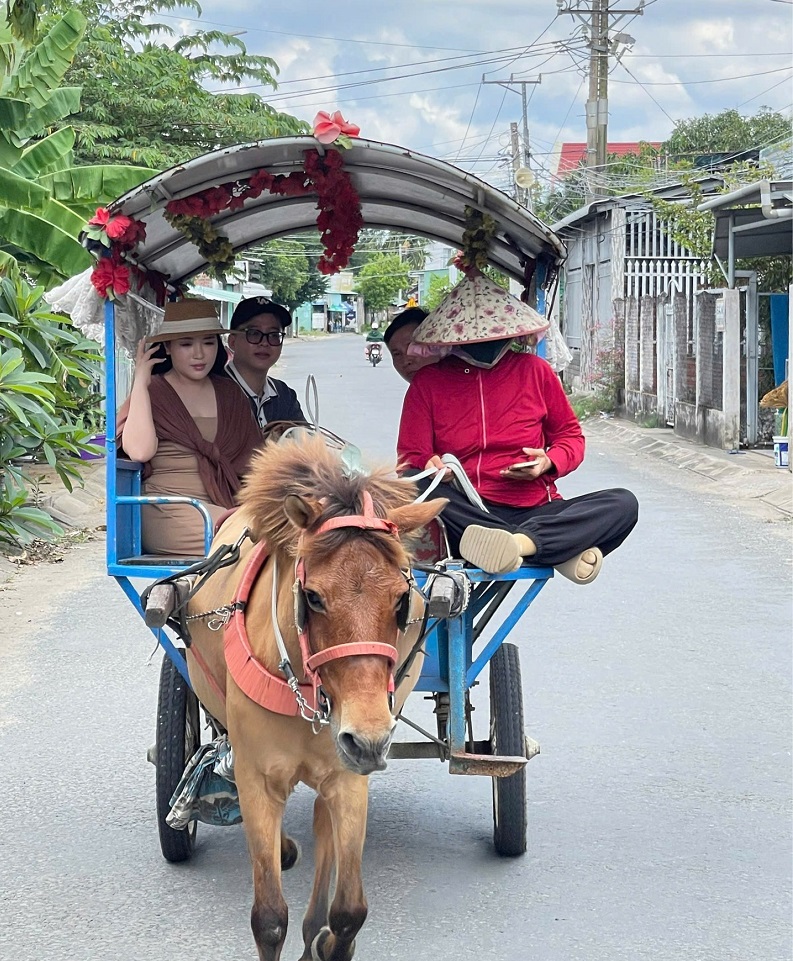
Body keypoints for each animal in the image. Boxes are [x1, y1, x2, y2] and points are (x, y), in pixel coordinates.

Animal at [184, 433, 445, 961]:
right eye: (314, 597)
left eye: (401, 600)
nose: (369, 740)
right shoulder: (257, 779)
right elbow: (268, 919)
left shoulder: (349, 776)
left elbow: (348, 913)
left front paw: (325, 938)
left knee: (325, 829)